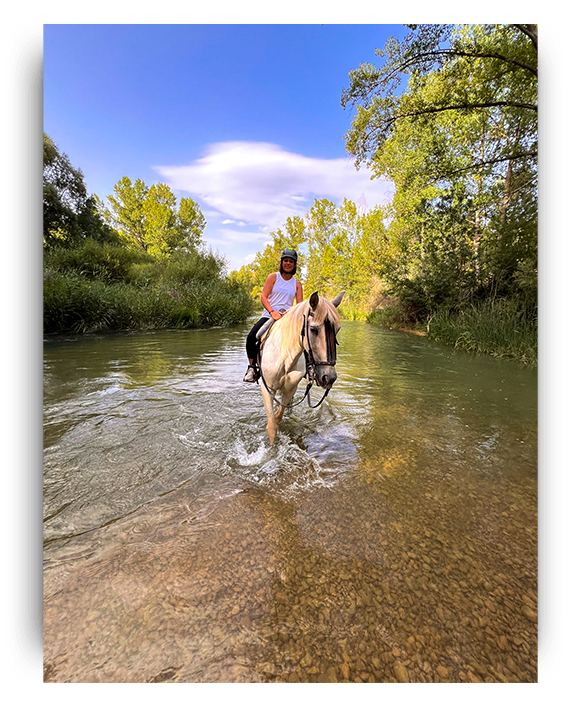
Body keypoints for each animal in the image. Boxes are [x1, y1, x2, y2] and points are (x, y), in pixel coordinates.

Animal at [257, 290, 344, 444]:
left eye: (337, 330)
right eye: (313, 329)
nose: (329, 377)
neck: (285, 359)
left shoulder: (290, 388)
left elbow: (278, 416)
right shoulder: (267, 388)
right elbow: (271, 427)